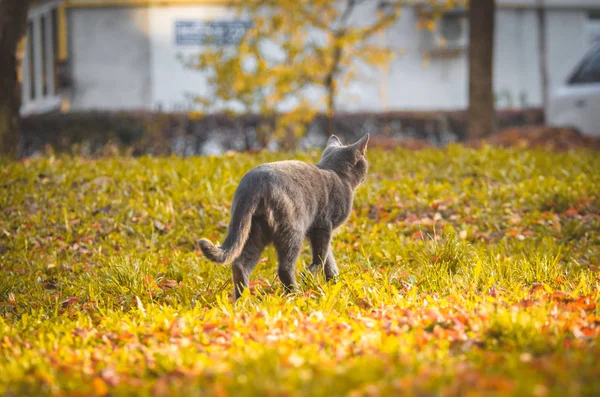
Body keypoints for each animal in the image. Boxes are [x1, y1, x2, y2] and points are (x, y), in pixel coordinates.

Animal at [202, 133, 368, 296]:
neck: (336, 174)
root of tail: (254, 183)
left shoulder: (315, 231)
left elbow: (328, 257)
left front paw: (334, 282)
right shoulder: (323, 226)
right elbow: (321, 256)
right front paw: (310, 276)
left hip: (253, 230)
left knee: (239, 264)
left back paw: (242, 298)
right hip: (292, 230)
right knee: (284, 267)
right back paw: (295, 293)